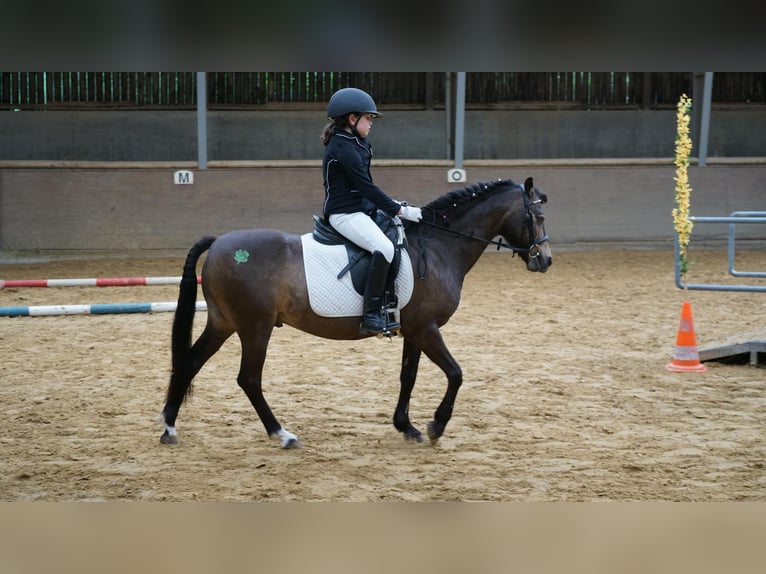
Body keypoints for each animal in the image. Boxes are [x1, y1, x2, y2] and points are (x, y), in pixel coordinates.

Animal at [160, 177, 552, 448]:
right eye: (537, 216)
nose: (544, 260)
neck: (439, 245)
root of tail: (220, 242)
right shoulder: (427, 328)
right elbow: (455, 373)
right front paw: (436, 426)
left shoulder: (414, 329)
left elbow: (408, 376)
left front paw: (406, 426)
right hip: (255, 327)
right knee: (249, 379)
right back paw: (282, 434)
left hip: (223, 323)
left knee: (190, 363)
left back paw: (169, 427)